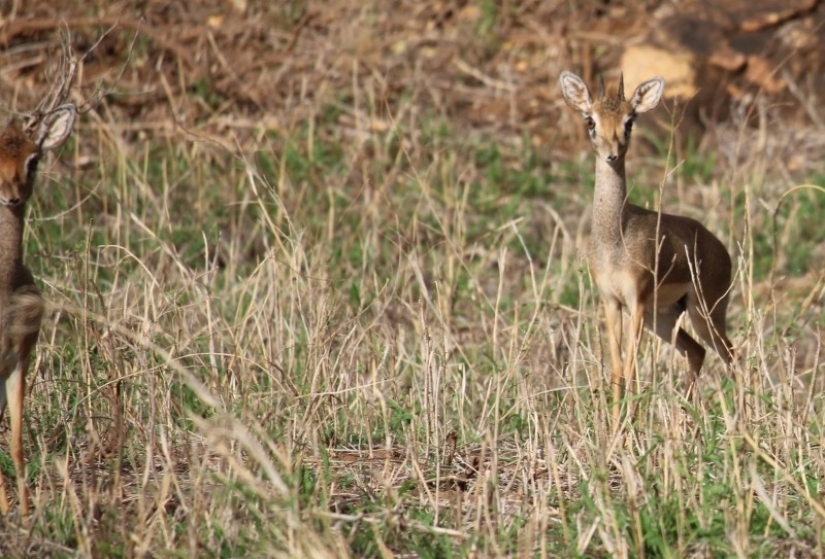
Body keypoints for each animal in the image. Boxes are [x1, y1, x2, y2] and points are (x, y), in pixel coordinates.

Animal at [558, 71, 733, 426]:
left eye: (630, 121)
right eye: (590, 120)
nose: (612, 153)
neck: (615, 237)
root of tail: (722, 251)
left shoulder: (636, 301)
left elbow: (631, 368)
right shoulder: (611, 302)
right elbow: (617, 371)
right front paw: (616, 432)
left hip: (704, 312)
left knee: (731, 355)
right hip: (664, 317)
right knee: (698, 352)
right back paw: (685, 423)